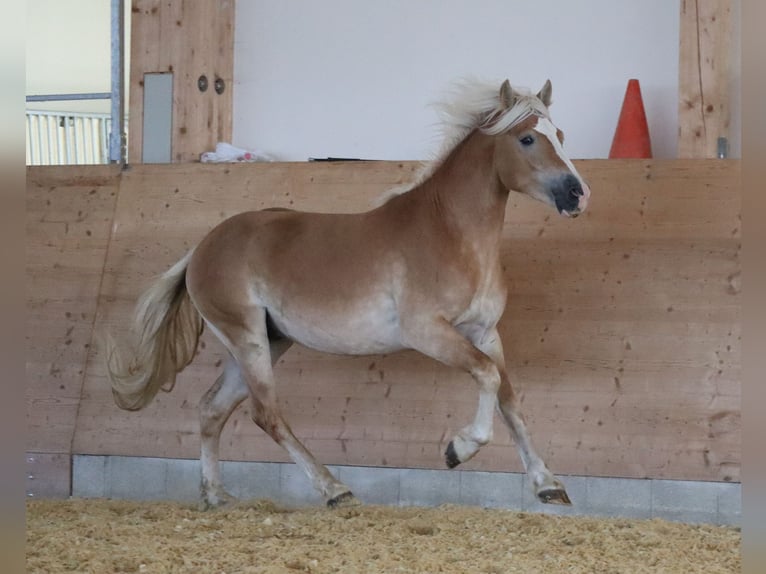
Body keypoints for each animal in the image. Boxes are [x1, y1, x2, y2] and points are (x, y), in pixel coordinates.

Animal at [106, 78, 591, 509]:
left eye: (562, 136)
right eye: (527, 137)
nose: (577, 194)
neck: (450, 234)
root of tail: (201, 249)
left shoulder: (485, 333)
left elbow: (510, 400)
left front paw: (548, 485)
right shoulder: (428, 333)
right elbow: (488, 378)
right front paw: (459, 448)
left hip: (266, 341)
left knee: (211, 409)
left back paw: (215, 497)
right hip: (248, 340)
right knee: (266, 415)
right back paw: (334, 490)